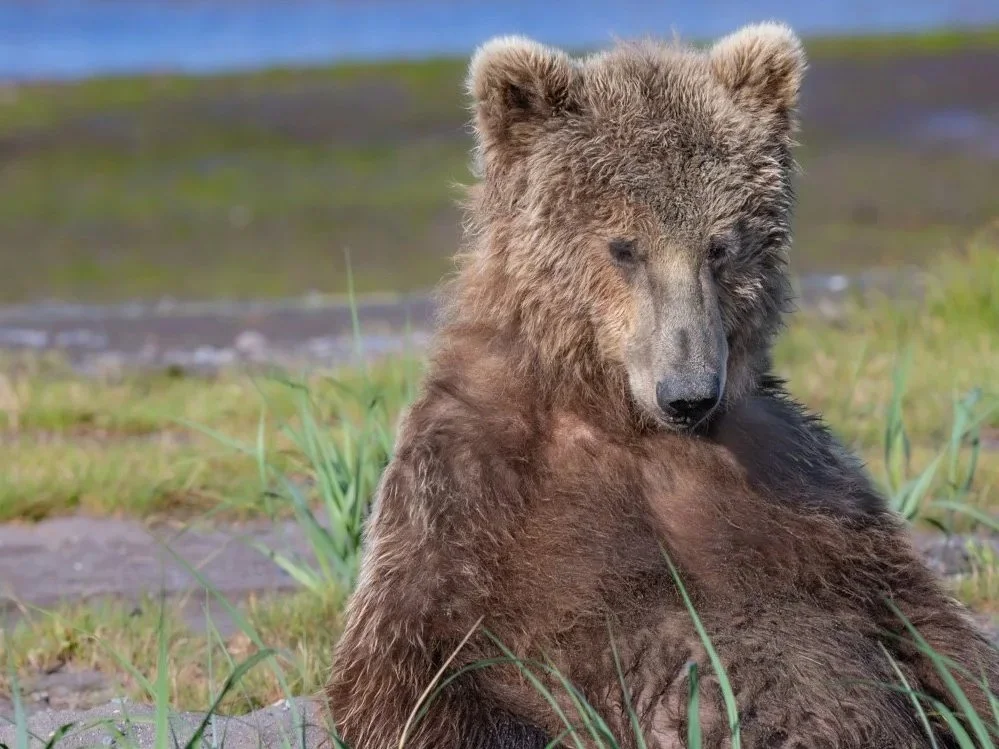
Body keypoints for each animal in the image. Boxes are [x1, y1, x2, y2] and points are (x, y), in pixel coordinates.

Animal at [327, 23, 999, 748]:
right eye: (623, 246)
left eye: (721, 244)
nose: (689, 392)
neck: (618, 414)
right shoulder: (464, 487)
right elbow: (415, 668)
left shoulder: (802, 482)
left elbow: (927, 624)